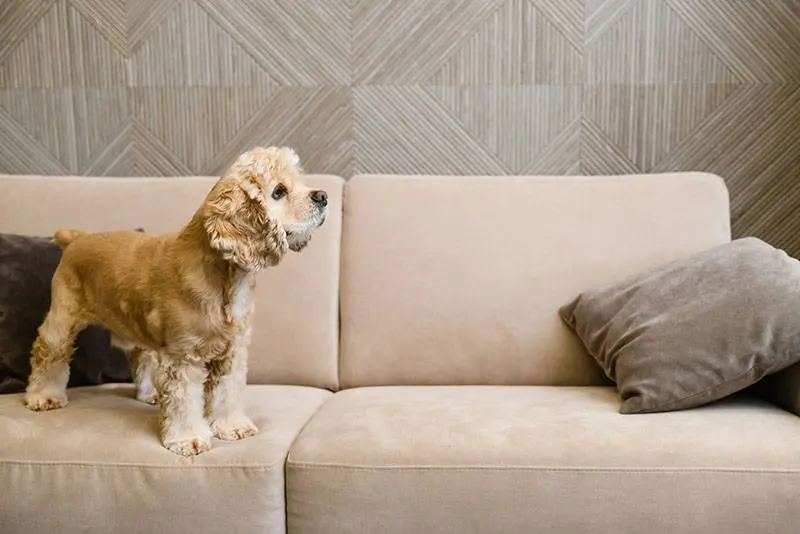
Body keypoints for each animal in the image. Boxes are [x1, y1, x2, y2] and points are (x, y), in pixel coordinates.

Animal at [24, 147, 328, 456]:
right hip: (62, 319)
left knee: (141, 357)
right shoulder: (183, 356)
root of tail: (77, 238)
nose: (323, 196)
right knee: (47, 353)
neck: (226, 279)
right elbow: (184, 403)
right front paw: (187, 438)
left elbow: (227, 392)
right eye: (279, 191)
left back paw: (148, 393)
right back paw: (42, 396)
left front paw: (232, 426)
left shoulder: (232, 351)